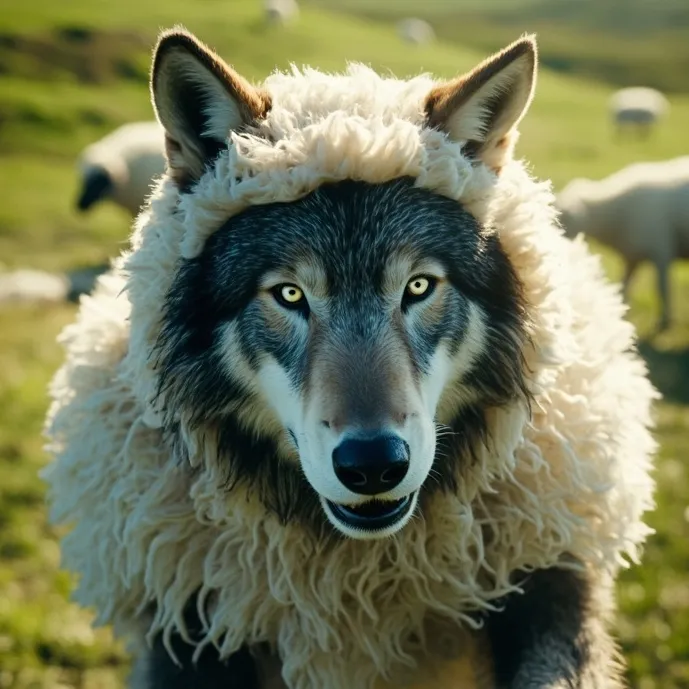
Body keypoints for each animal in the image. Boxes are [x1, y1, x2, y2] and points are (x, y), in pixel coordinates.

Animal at [43, 27, 657, 689]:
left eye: (419, 287)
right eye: (289, 295)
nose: (373, 467)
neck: (356, 578)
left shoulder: (546, 572)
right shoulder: (190, 616)